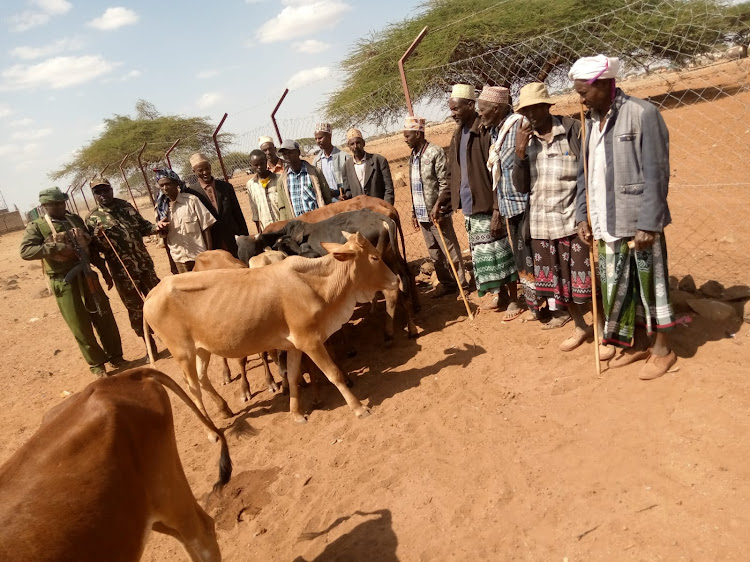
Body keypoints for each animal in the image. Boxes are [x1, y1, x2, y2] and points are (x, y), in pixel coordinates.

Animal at [142, 231, 400, 420]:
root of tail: (150, 295)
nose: (395, 280)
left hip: (202, 349)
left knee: (203, 380)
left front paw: (296, 413)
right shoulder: (311, 341)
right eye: (374, 257)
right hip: (183, 353)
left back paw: (225, 409)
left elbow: (294, 376)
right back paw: (211, 429)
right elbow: (333, 374)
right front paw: (359, 408)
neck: (314, 283)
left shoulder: (295, 346)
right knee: (192, 388)